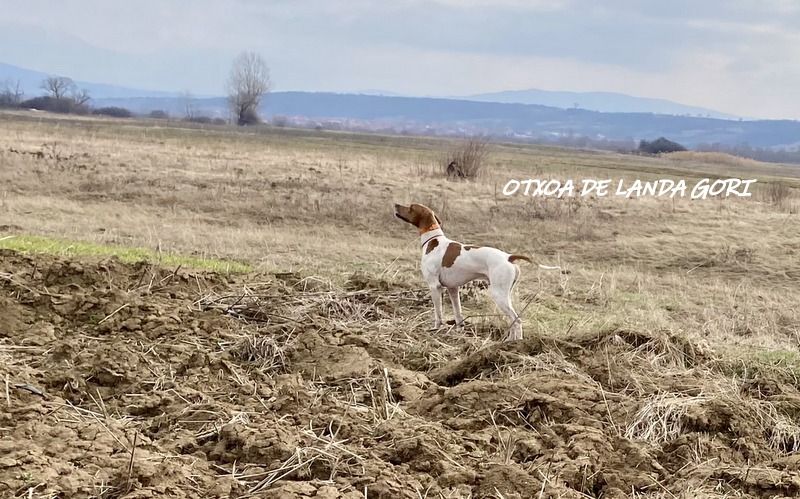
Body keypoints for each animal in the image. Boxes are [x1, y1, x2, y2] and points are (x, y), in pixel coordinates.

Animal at [394, 202, 556, 340]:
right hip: (505, 294)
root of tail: (508, 257)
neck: (433, 241)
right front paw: (459, 332)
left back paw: (515, 343)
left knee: (517, 321)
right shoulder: (453, 289)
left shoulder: (435, 286)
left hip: (499, 295)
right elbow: (458, 314)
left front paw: (435, 330)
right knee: (513, 320)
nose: (395, 205)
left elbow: (438, 314)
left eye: (411, 207)